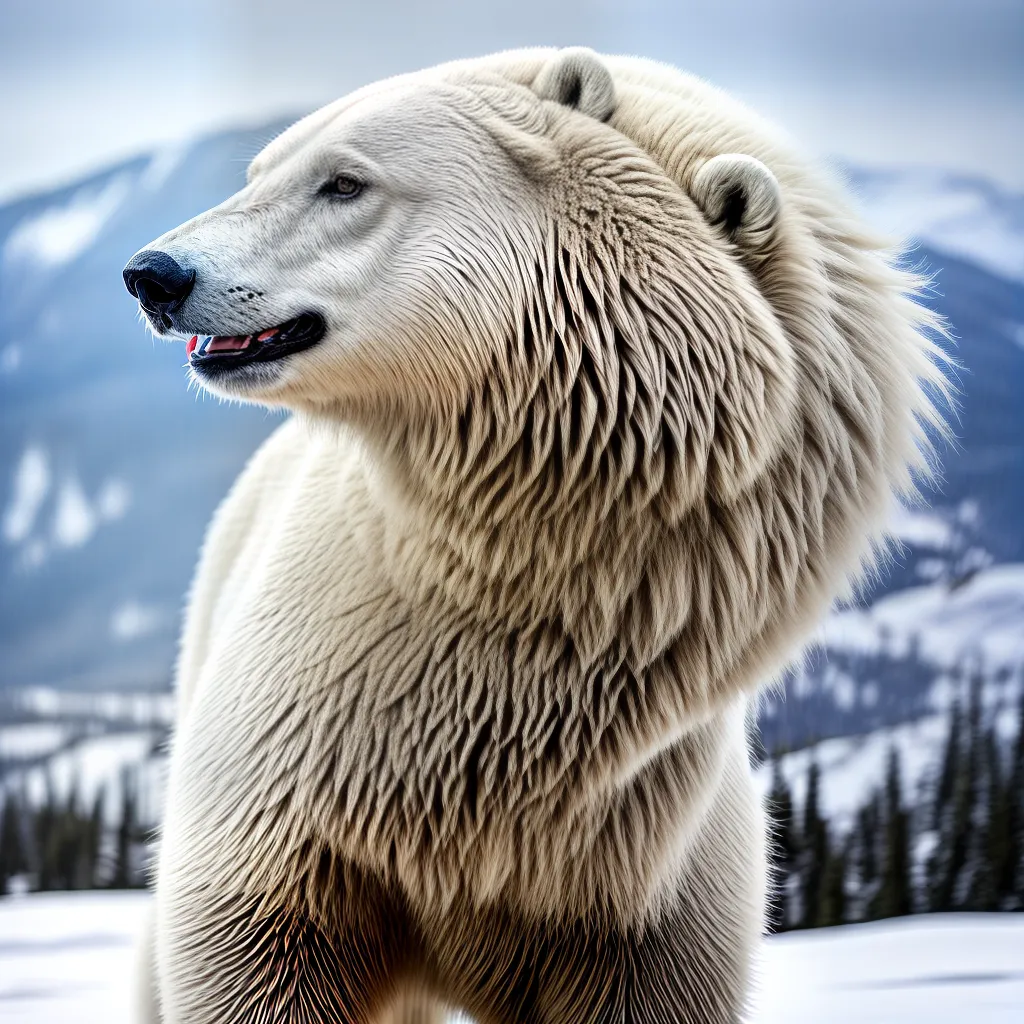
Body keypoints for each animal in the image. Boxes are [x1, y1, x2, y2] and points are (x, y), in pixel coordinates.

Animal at [123, 47, 945, 1024]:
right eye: (261, 169)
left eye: (344, 181)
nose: (153, 273)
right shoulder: (295, 779)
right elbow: (252, 952)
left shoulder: (643, 869)